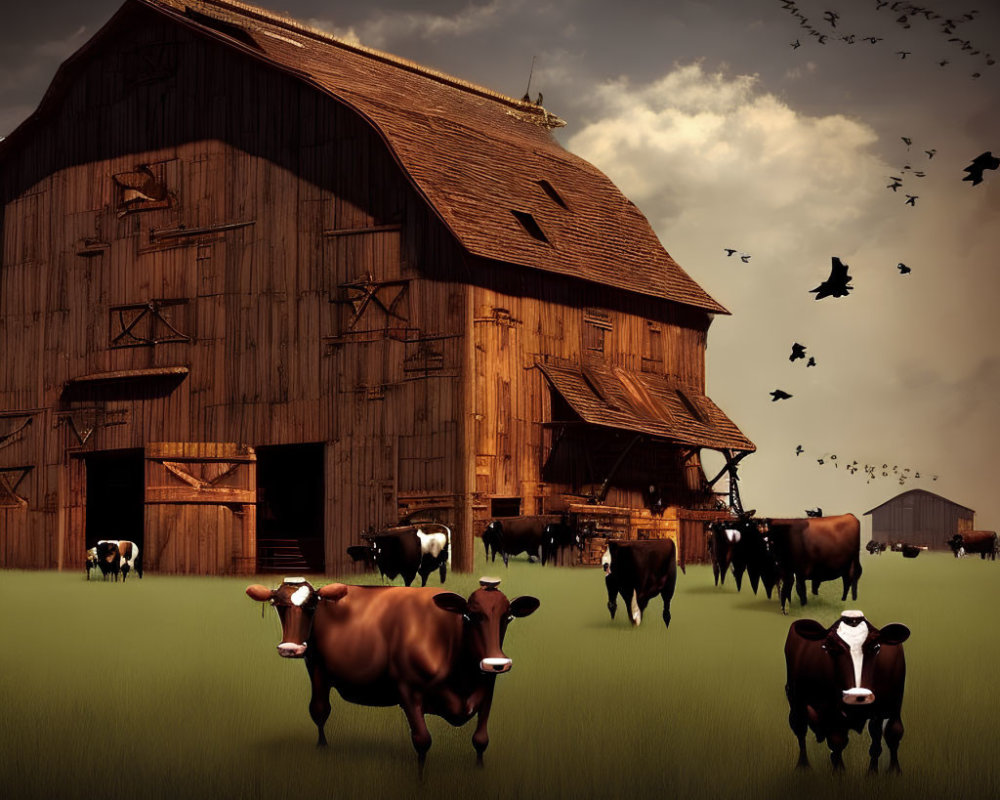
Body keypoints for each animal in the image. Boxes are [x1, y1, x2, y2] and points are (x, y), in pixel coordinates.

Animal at [244, 576, 540, 776]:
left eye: (508, 617)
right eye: (470, 616)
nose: (496, 663)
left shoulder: (487, 687)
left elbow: (481, 741)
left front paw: (479, 772)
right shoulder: (408, 691)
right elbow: (422, 741)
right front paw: (421, 782)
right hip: (316, 668)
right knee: (319, 710)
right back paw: (323, 748)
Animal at [784, 608, 912, 772]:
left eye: (876, 647)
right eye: (830, 648)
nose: (857, 695)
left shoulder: (894, 705)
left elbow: (892, 734)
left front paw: (887, 772)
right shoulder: (832, 712)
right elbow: (837, 742)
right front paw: (839, 774)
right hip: (794, 698)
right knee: (799, 728)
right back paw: (803, 766)